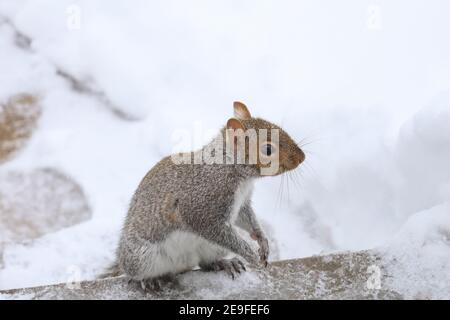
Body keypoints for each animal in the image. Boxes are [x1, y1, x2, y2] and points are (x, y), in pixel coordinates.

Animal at [110, 102, 304, 290]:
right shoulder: (203, 204)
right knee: (134, 272)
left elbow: (247, 218)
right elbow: (212, 228)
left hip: (212, 248)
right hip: (141, 257)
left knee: (205, 263)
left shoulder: (240, 203)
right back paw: (149, 280)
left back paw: (224, 263)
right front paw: (250, 254)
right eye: (268, 149)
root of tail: (182, 265)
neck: (233, 170)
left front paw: (262, 240)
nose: (301, 157)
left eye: (278, 127)